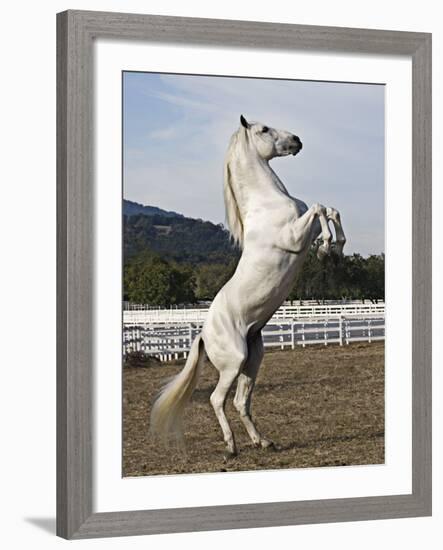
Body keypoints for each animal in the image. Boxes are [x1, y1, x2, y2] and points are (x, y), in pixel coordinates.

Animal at [151, 117, 348, 462]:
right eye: (264, 129)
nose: (297, 140)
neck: (266, 202)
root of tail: (203, 334)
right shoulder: (295, 235)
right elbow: (319, 208)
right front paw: (327, 248)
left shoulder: (304, 228)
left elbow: (330, 209)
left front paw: (335, 248)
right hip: (233, 361)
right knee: (217, 399)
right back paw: (231, 447)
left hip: (253, 360)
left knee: (241, 401)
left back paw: (263, 442)